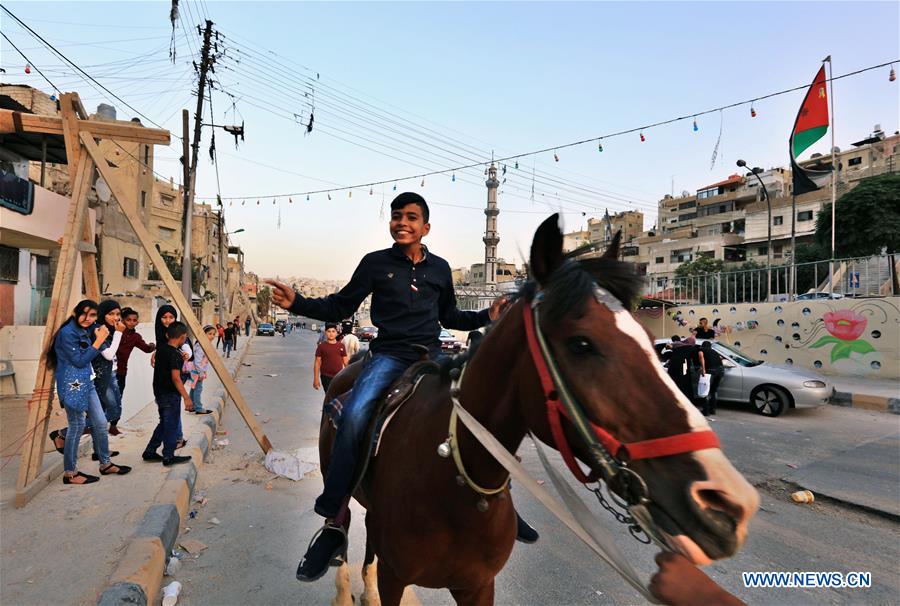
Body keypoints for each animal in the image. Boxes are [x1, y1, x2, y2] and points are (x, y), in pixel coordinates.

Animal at [320, 217, 756, 606]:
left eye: (652, 341)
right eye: (581, 344)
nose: (726, 503)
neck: (453, 476)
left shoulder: (478, 586)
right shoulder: (397, 576)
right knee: (342, 521)